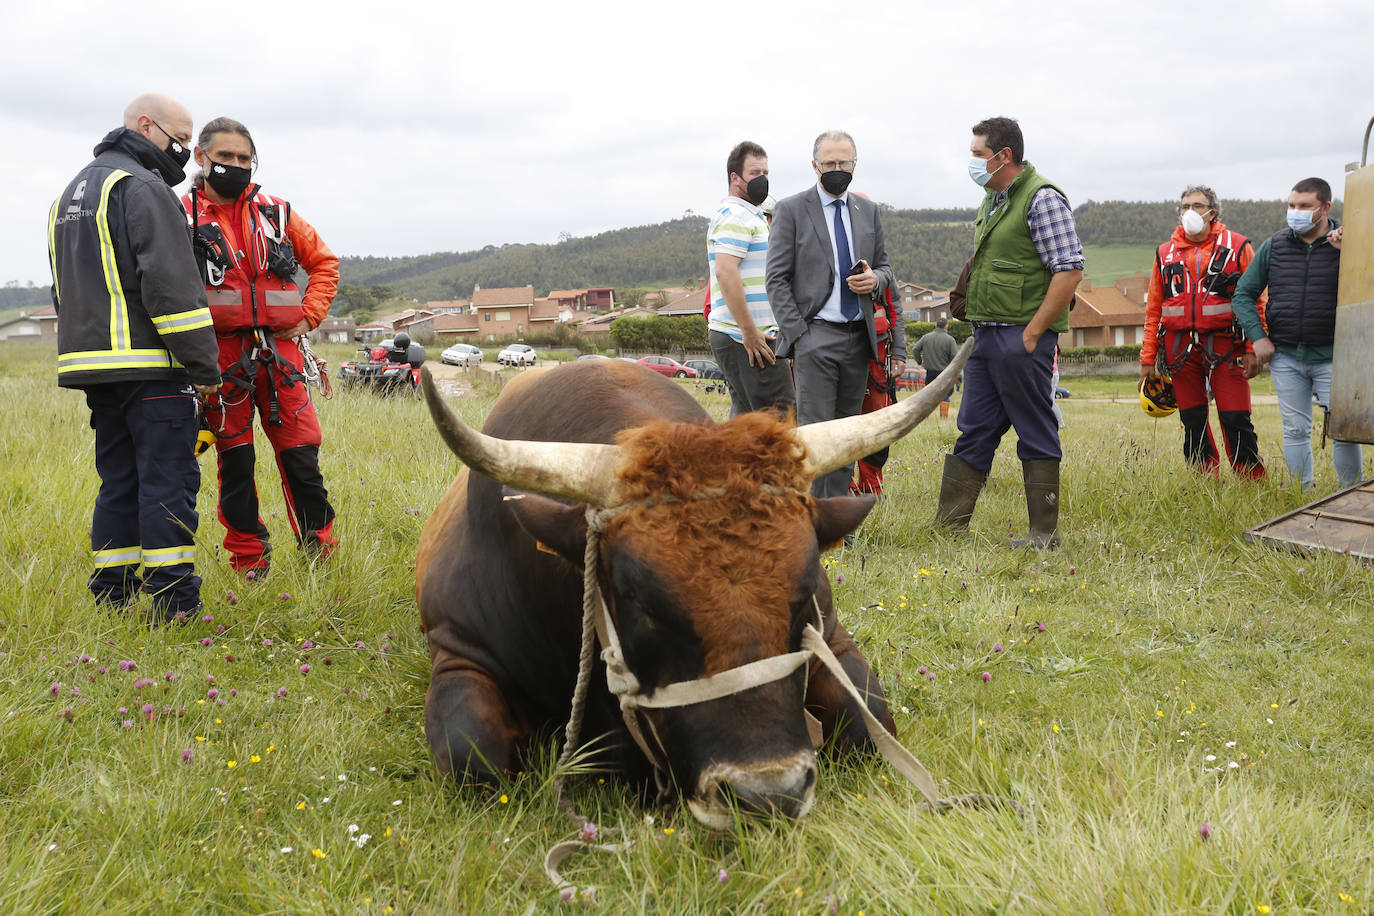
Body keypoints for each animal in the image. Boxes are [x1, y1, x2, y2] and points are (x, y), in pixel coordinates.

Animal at [414, 347, 967, 829]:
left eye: (807, 585)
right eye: (638, 600)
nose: (768, 793)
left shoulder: (831, 637)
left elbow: (868, 725)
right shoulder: (461, 648)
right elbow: (473, 757)